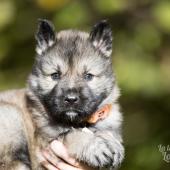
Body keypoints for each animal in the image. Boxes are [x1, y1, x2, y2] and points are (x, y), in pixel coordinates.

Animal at [0, 19, 124, 169]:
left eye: (88, 76)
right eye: (55, 75)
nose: (70, 99)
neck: (78, 122)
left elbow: (106, 132)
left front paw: (113, 142)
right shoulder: (46, 144)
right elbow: (72, 135)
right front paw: (94, 146)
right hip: (11, 116)